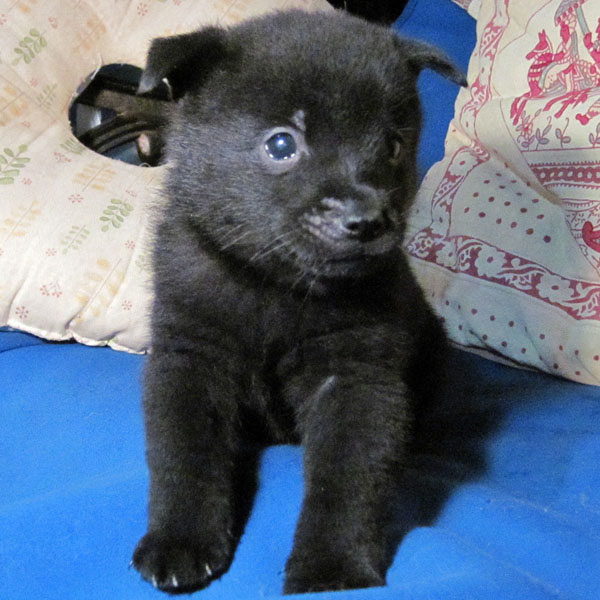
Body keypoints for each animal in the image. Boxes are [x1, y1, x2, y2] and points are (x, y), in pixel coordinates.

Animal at [132, 9, 465, 595]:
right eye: (282, 145)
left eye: (393, 145)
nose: (366, 221)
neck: (275, 285)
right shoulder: (187, 357)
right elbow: (183, 455)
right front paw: (179, 543)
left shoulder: (354, 373)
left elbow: (349, 477)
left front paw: (332, 567)